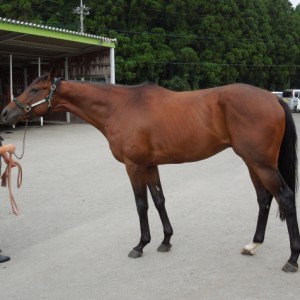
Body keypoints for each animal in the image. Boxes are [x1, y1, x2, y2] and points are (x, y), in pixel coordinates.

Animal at [1, 71, 298, 272]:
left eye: (35, 89)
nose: (5, 113)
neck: (120, 107)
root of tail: (273, 100)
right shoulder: (150, 165)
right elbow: (158, 200)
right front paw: (165, 240)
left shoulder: (134, 166)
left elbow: (141, 204)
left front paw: (140, 245)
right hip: (252, 163)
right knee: (264, 199)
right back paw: (253, 245)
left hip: (261, 163)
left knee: (285, 197)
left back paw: (292, 259)